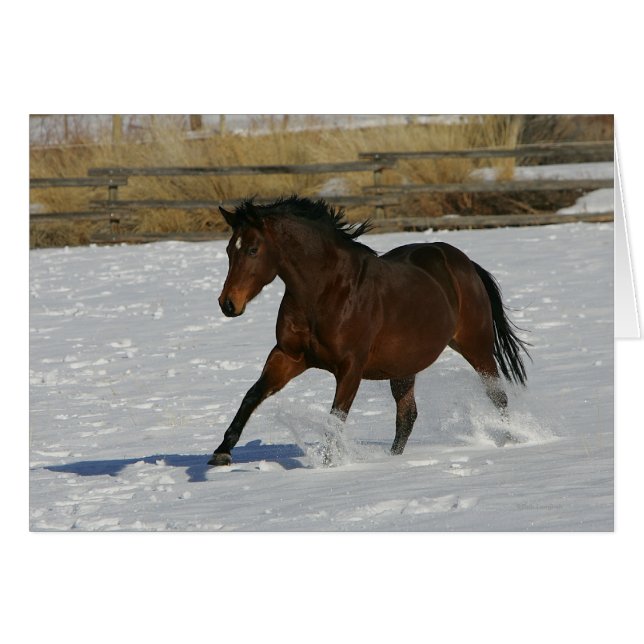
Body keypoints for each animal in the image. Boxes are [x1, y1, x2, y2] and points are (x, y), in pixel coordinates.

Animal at [208, 195, 530, 466]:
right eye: (229, 249)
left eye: (253, 249)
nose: (228, 304)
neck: (325, 291)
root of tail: (464, 263)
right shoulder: (288, 356)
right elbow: (252, 395)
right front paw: (221, 453)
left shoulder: (350, 368)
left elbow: (336, 418)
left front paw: (329, 464)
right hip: (404, 367)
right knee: (407, 416)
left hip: (476, 347)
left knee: (497, 397)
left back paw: (509, 440)